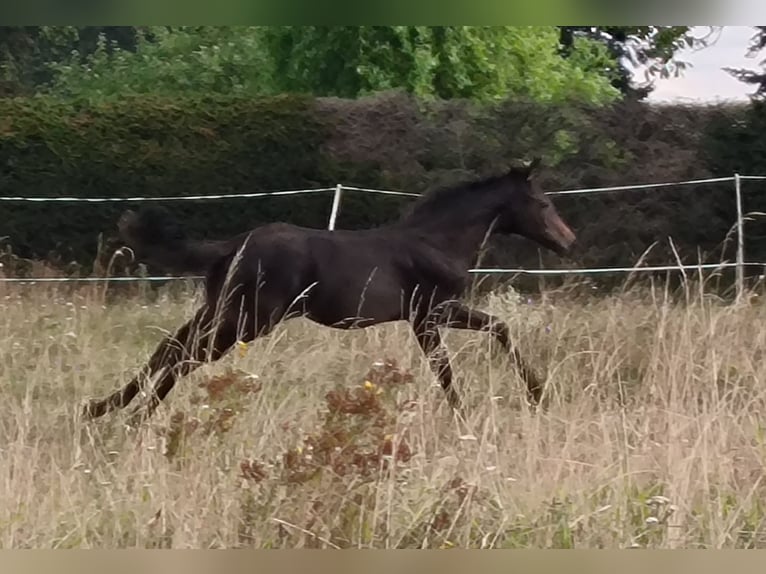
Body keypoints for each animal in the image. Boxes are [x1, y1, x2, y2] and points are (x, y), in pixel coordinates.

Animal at [82, 160, 576, 426]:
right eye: (544, 203)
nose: (568, 241)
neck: (437, 240)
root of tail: (233, 244)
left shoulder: (436, 314)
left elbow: (496, 330)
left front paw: (533, 394)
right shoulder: (429, 315)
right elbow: (450, 367)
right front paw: (477, 412)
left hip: (222, 310)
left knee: (170, 347)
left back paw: (106, 410)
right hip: (248, 320)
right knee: (184, 355)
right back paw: (130, 417)